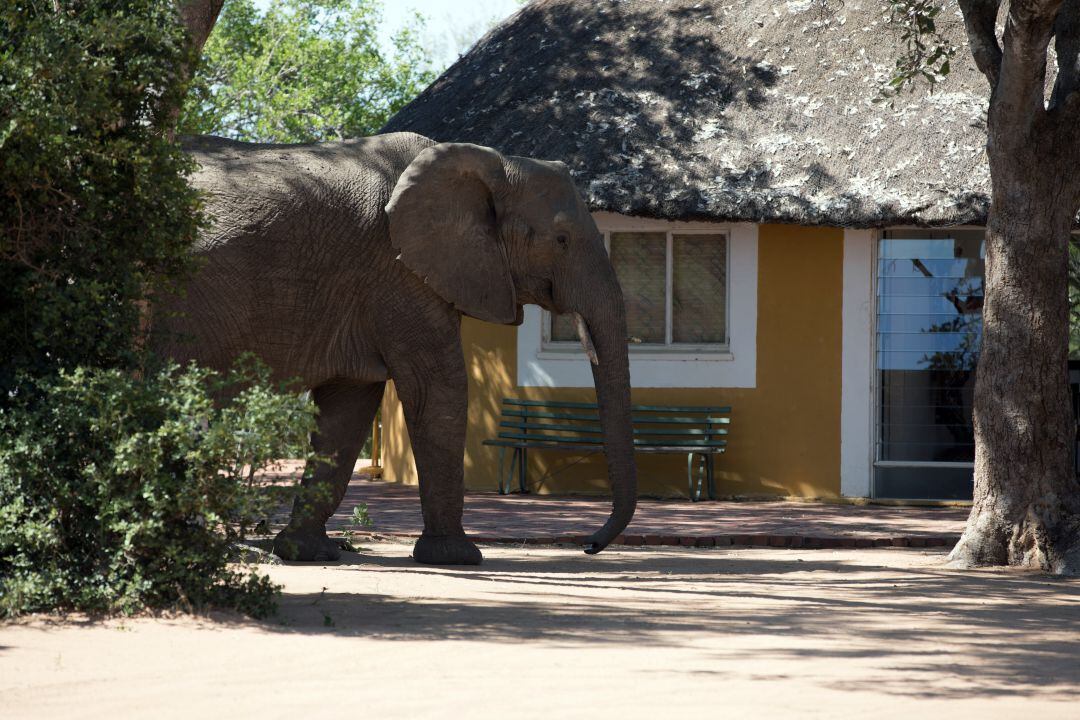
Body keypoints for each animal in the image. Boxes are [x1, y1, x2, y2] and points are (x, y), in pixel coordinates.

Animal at [163, 132, 635, 565]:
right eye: (561, 240)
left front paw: (309, 552)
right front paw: (458, 557)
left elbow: (348, 407)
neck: (496, 163)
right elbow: (438, 389)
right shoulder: (399, 273)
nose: (590, 545)